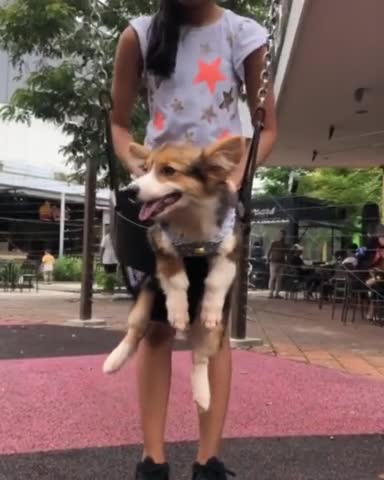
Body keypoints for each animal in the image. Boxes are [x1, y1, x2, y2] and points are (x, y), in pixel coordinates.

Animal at [103, 136, 243, 412]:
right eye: (146, 169)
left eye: (168, 171)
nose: (130, 191)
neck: (192, 217)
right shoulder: (163, 247)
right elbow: (178, 280)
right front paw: (178, 313)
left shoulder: (229, 250)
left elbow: (216, 280)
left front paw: (210, 309)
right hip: (144, 303)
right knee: (134, 332)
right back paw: (113, 361)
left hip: (213, 336)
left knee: (199, 358)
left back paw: (203, 396)